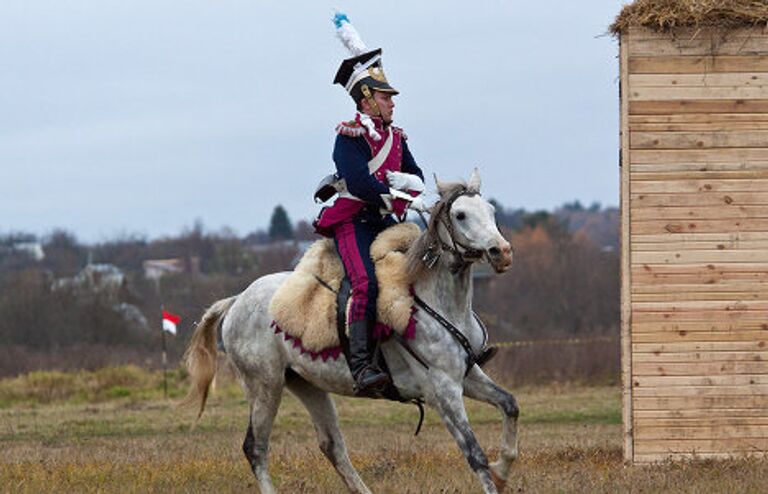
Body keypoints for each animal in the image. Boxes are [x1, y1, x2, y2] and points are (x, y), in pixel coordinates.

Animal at [185, 168, 520, 492]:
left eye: (491, 211)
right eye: (461, 215)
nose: (501, 252)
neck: (440, 302)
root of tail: (237, 300)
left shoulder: (468, 376)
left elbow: (510, 405)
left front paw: (502, 470)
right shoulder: (442, 391)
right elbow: (474, 454)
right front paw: (495, 475)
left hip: (306, 384)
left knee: (331, 445)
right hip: (265, 385)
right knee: (255, 447)